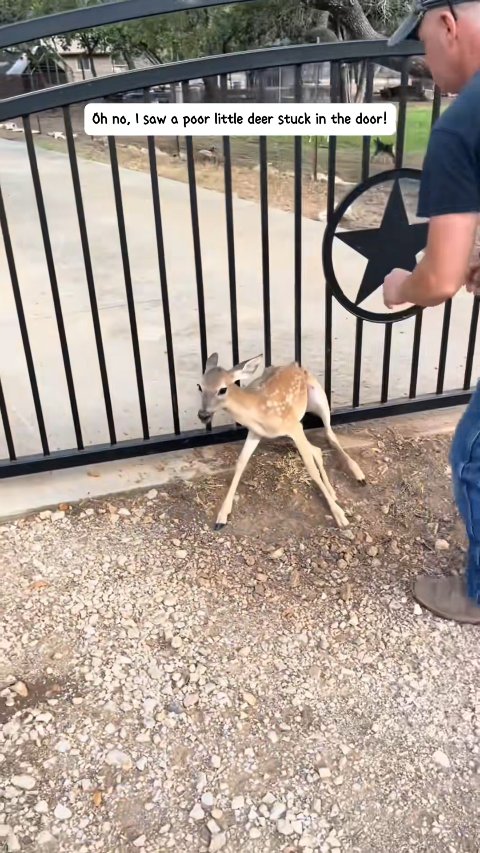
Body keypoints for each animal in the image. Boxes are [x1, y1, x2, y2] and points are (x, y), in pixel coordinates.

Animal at [197, 353, 366, 531]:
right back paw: (332, 492)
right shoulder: (255, 432)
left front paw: (339, 515)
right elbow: (240, 464)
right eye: (200, 386)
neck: (259, 409)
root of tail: (295, 364)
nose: (202, 415)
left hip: (320, 398)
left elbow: (310, 469)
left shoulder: (294, 426)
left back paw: (358, 476)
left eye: (222, 389)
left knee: (330, 435)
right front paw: (222, 516)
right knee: (317, 449)